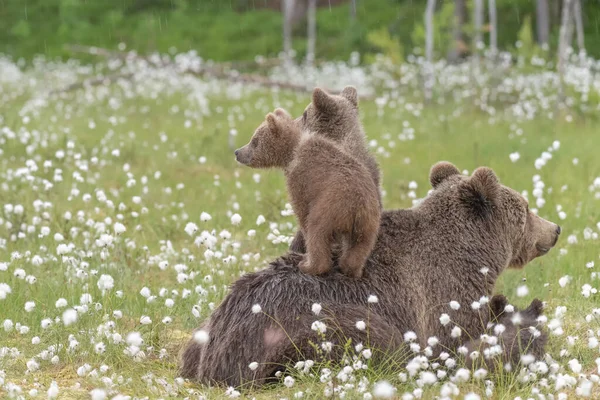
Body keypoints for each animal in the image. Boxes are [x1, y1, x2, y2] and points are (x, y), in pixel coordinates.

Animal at [179, 162, 564, 388]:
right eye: (527, 208)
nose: (556, 229)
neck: (475, 253)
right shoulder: (442, 293)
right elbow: (457, 338)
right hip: (316, 325)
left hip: (204, 331)